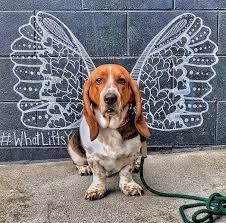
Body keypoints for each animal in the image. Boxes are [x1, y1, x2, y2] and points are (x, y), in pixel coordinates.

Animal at [68, 63, 151, 199]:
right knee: (78, 163)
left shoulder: (131, 155)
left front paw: (129, 186)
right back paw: (84, 168)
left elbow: (126, 172)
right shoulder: (93, 157)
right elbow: (98, 174)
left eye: (122, 80)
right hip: (72, 147)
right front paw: (96, 189)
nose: (110, 98)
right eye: (98, 80)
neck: (111, 128)